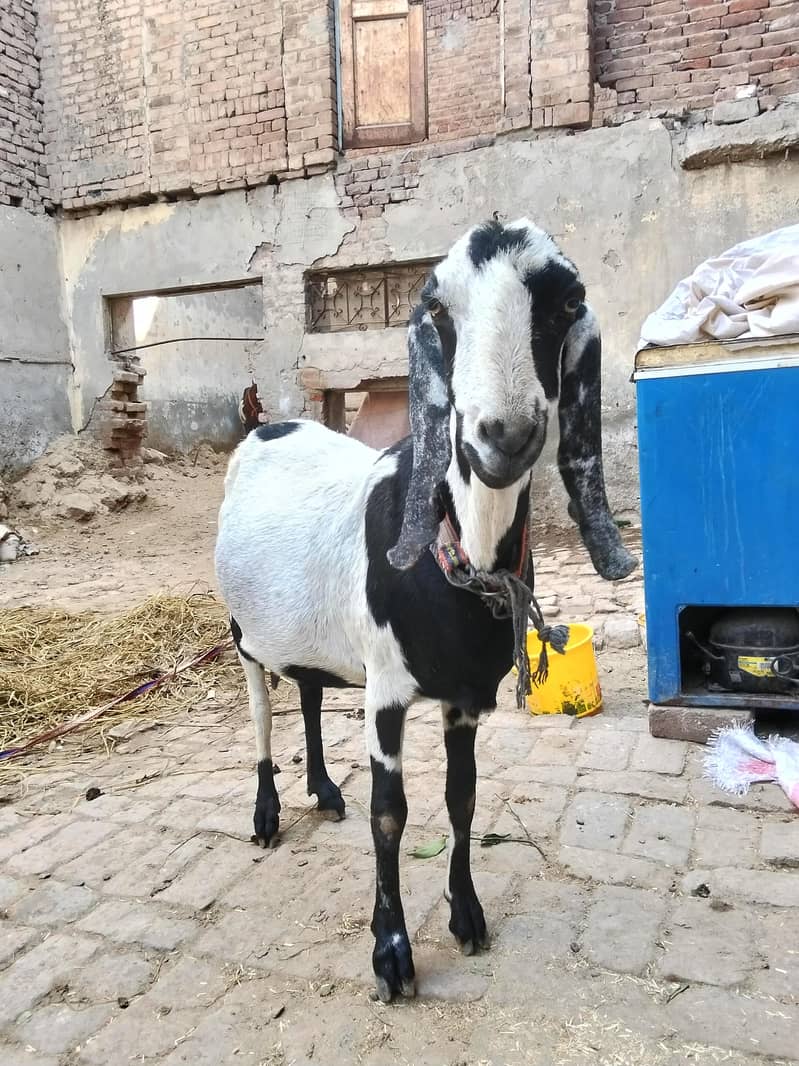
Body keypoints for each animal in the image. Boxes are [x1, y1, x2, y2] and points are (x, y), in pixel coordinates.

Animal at [215, 219, 635, 1002]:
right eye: (437, 308)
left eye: (567, 303)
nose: (502, 436)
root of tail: (269, 427)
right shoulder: (385, 691)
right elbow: (391, 814)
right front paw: (391, 953)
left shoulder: (464, 701)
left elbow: (460, 797)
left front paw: (466, 916)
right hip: (243, 634)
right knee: (261, 710)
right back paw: (267, 812)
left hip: (313, 634)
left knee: (310, 693)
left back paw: (323, 790)